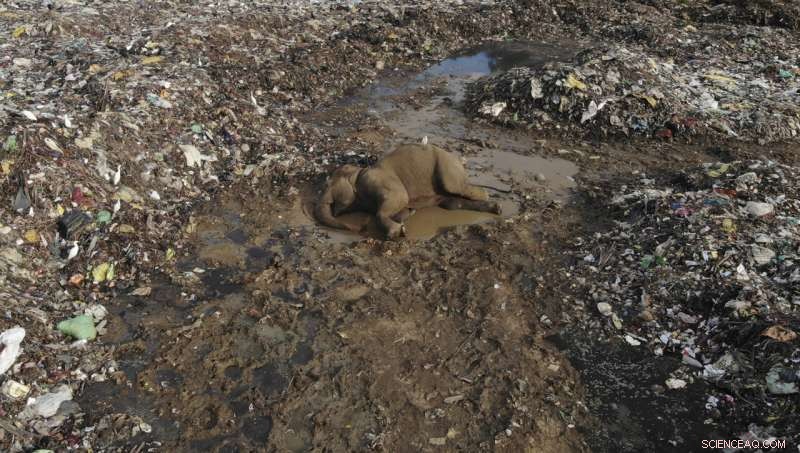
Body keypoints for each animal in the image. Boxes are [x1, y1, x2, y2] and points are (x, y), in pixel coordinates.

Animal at [315, 144, 501, 238]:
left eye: (326, 184)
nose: (361, 228)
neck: (358, 173)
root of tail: (458, 160)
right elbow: (399, 207)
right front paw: (407, 216)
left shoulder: (378, 180)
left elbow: (399, 198)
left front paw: (396, 232)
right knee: (454, 203)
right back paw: (495, 208)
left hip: (447, 168)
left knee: (458, 188)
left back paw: (488, 197)